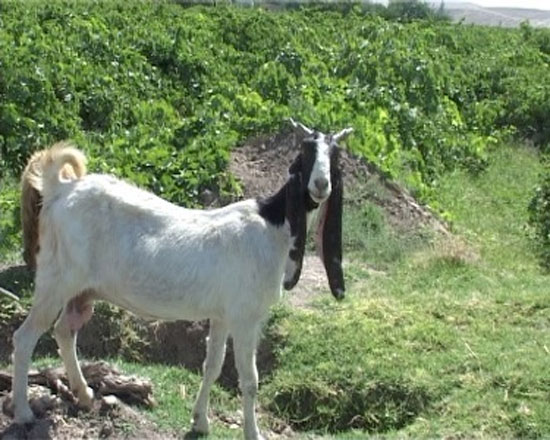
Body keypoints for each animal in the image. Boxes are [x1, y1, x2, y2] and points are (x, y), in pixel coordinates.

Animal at [12, 121, 356, 440]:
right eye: (305, 152)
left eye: (335, 155)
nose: (321, 185)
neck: (272, 225)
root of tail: (59, 189)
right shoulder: (246, 317)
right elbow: (250, 379)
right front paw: (253, 432)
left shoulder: (222, 316)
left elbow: (212, 365)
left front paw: (200, 421)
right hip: (56, 280)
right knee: (25, 337)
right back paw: (24, 412)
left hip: (81, 291)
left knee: (64, 331)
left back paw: (84, 395)